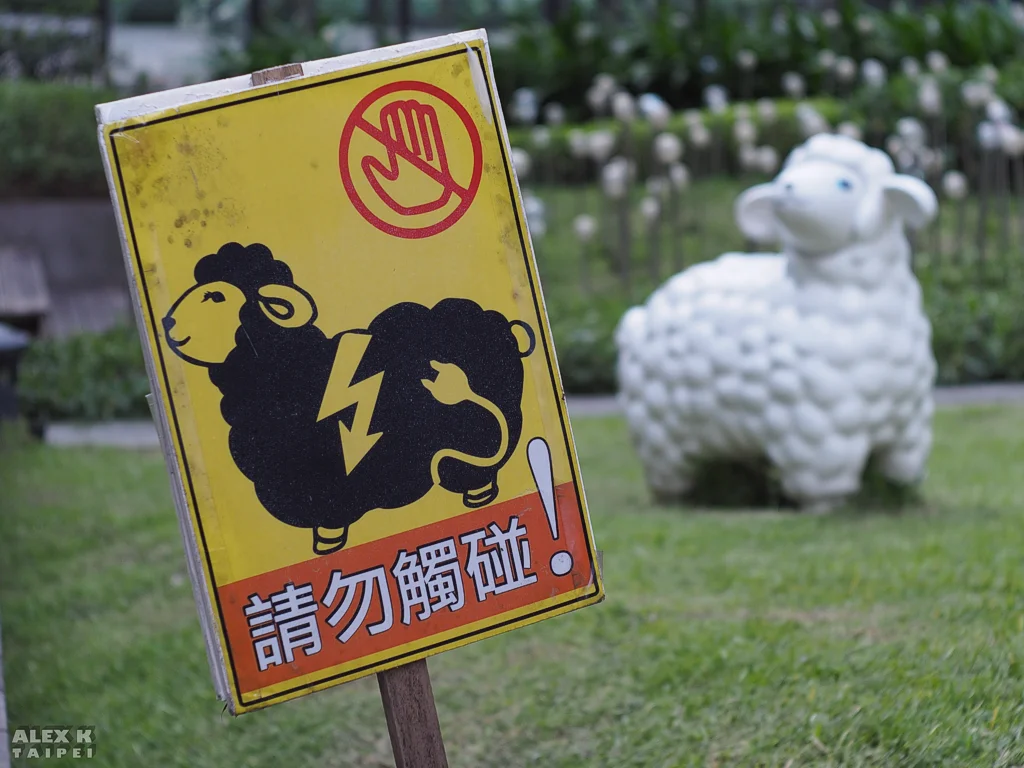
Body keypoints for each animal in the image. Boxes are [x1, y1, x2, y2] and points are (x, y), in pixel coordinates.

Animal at [162, 242, 536, 554]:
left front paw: (329, 546)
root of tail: (500, 323)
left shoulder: (331, 487)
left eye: (216, 296)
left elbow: (330, 520)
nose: (167, 323)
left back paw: (478, 498)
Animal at [615, 133, 938, 510]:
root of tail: (637, 317)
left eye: (845, 183)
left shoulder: (910, 424)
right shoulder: (818, 432)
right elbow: (824, 489)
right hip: (659, 432)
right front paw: (826, 509)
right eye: (787, 174)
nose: (787, 188)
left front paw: (901, 490)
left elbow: (903, 475)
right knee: (670, 478)